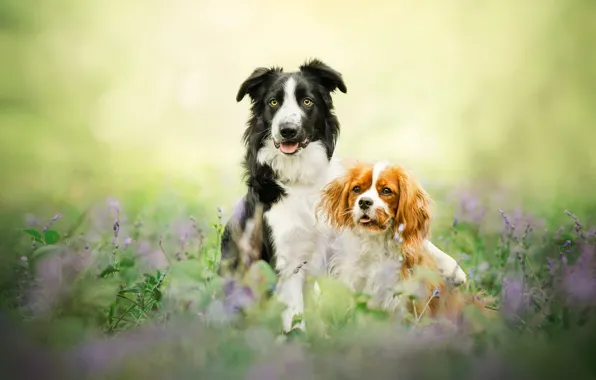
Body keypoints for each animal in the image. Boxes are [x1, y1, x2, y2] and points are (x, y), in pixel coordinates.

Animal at [221, 58, 346, 332]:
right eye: (273, 102)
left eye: (307, 101)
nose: (287, 130)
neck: (298, 180)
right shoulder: (286, 263)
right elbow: (295, 318)